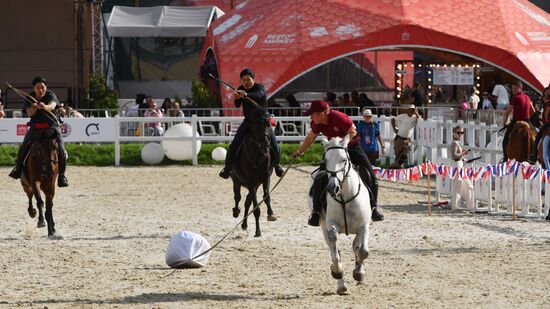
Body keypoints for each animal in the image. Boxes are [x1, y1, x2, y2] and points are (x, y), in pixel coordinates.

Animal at [232, 108, 278, 236]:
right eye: (256, 126)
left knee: (247, 202)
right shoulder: (251, 183)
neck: (257, 154)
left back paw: (244, 224)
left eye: (268, 125)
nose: (266, 143)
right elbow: (256, 208)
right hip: (237, 181)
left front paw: (271, 214)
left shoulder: (265, 178)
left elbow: (266, 197)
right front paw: (258, 231)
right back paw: (236, 211)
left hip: (255, 185)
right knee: (237, 197)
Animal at [310, 135, 376, 294]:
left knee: (356, 246)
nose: (333, 188)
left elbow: (362, 251)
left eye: (344, 160)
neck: (345, 196)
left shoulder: (363, 225)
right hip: (323, 227)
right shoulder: (331, 225)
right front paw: (337, 271)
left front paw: (359, 273)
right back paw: (341, 285)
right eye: (326, 160)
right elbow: (336, 251)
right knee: (333, 248)